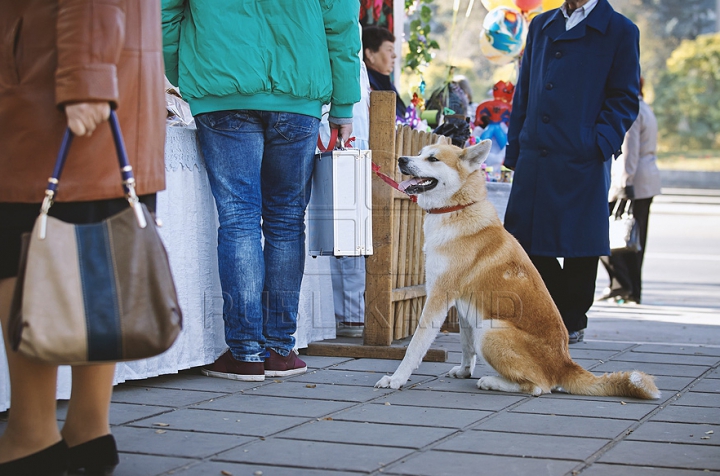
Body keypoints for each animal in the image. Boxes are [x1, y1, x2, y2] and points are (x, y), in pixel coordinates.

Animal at [374, 139, 660, 400]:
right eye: (419, 152)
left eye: (433, 159)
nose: (401, 159)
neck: (457, 209)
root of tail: (565, 364)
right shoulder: (463, 306)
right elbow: (466, 345)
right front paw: (465, 371)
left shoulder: (438, 296)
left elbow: (415, 345)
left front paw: (396, 379)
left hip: (490, 330)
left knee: (539, 387)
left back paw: (492, 382)